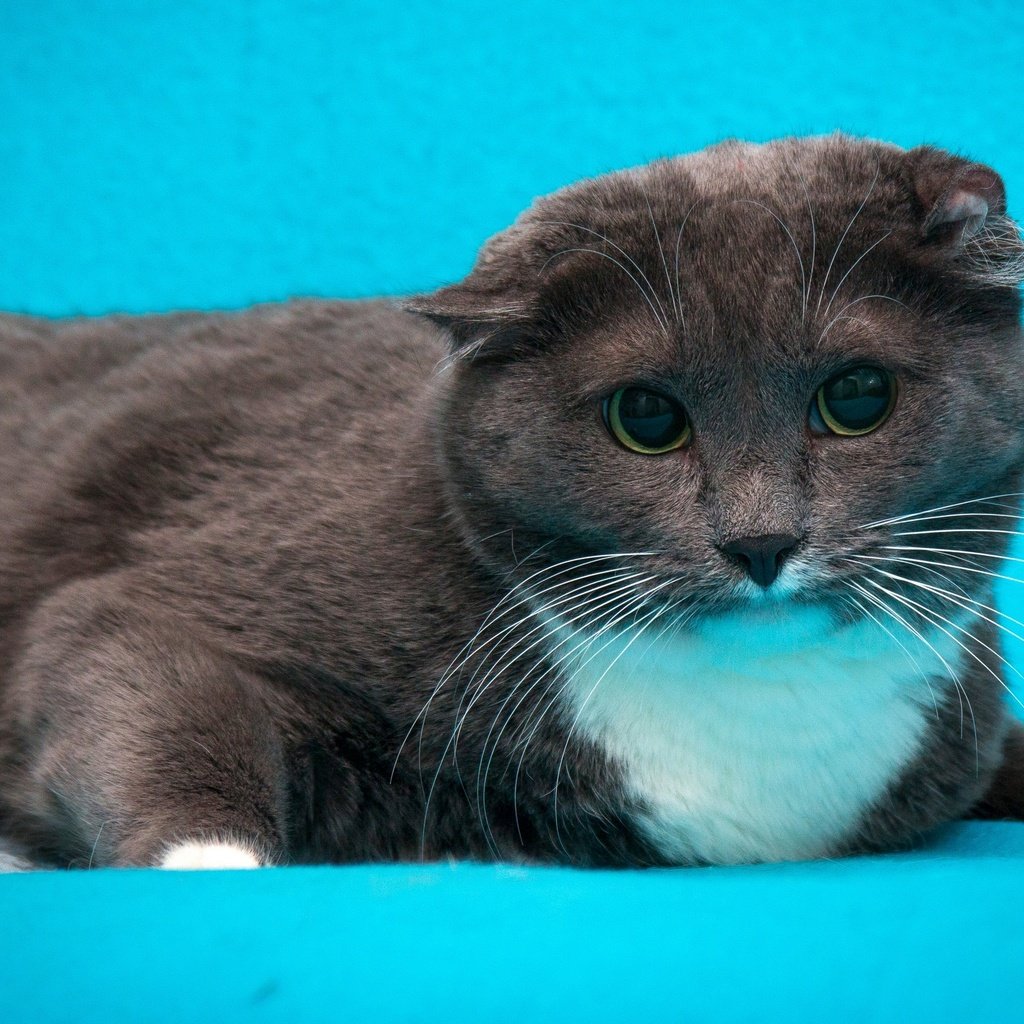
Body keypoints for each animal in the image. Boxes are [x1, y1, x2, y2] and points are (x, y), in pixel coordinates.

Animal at [0, 134, 1019, 872]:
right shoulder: (181, 582)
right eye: (646, 416)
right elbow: (143, 675)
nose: (761, 539)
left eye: (857, 397)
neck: (761, 724)